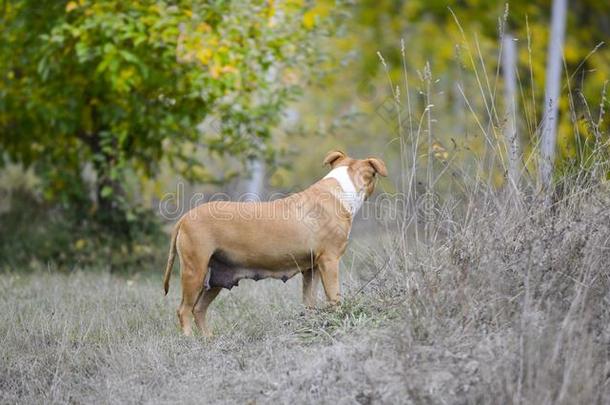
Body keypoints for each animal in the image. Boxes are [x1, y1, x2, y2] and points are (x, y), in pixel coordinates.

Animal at [163, 150, 384, 336]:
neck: (340, 190)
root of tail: (185, 217)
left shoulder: (311, 269)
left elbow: (309, 301)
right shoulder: (329, 262)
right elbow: (334, 297)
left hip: (214, 278)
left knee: (199, 310)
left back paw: (208, 341)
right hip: (194, 271)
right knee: (184, 310)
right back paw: (190, 341)